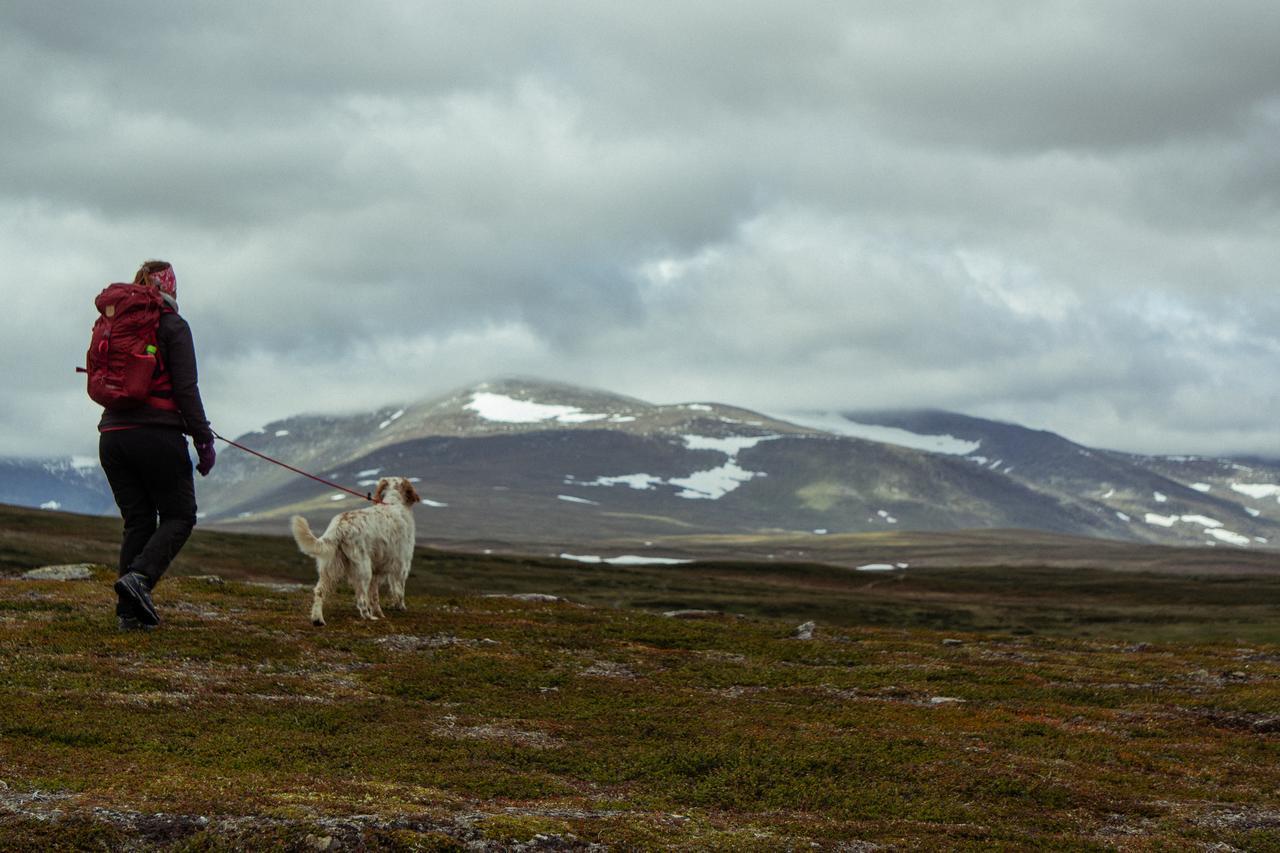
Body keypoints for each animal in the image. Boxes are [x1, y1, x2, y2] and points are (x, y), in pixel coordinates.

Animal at [289, 479, 419, 625]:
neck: (394, 502)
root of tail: (339, 526)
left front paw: (380, 613)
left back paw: (318, 619)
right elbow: (399, 591)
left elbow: (374, 596)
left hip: (330, 568)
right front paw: (400, 607)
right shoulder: (401, 565)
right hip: (363, 569)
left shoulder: (377, 571)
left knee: (319, 591)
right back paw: (369, 617)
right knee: (361, 599)